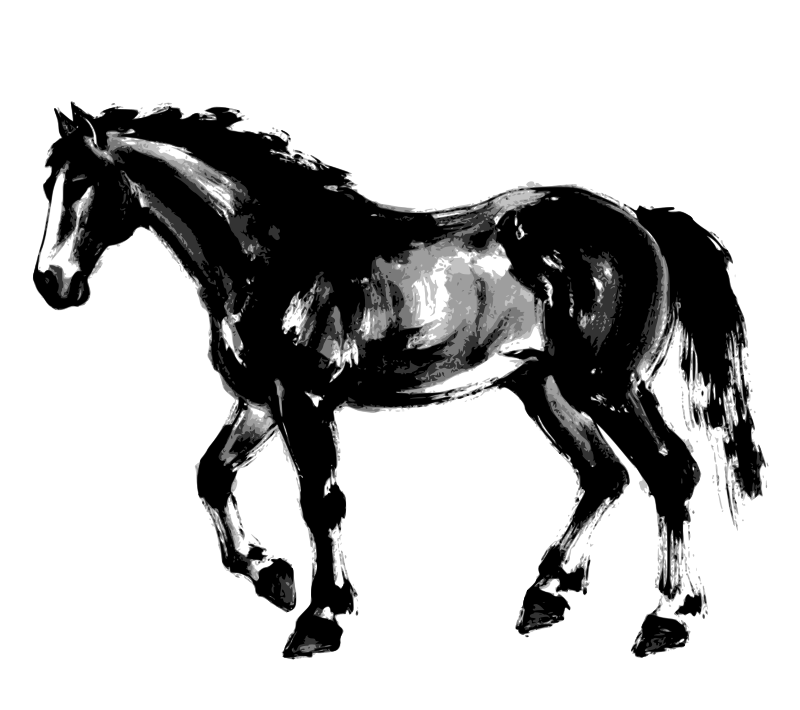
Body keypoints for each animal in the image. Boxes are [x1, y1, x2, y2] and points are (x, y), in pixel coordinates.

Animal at [33, 102, 765, 659]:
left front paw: (321, 620)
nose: (52, 283)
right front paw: (271, 575)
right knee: (604, 475)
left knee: (670, 472)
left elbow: (321, 502)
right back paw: (547, 594)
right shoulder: (261, 401)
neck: (276, 255)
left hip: (607, 386)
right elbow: (213, 474)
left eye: (86, 182)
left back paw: (668, 618)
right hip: (545, 389)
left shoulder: (304, 399)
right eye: (49, 185)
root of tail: (641, 220)